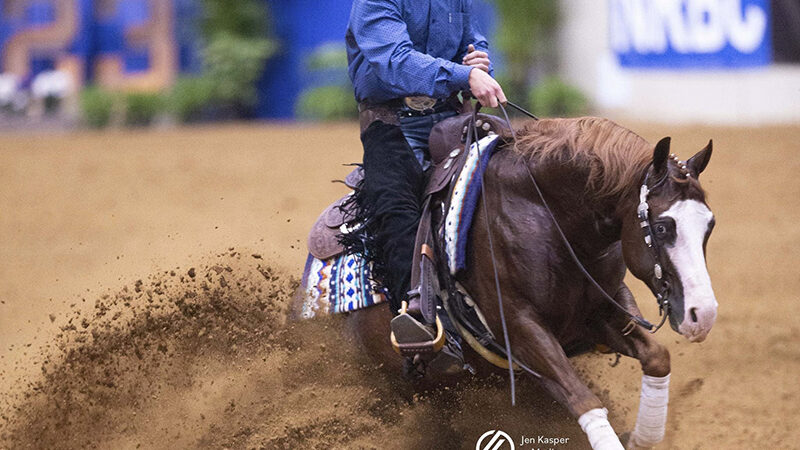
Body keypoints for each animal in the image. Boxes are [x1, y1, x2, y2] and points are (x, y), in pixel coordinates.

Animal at [296, 114, 720, 448]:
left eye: (710, 225)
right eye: (663, 226)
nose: (703, 315)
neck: (547, 215)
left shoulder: (598, 313)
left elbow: (657, 358)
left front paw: (642, 436)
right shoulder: (518, 327)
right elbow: (583, 400)